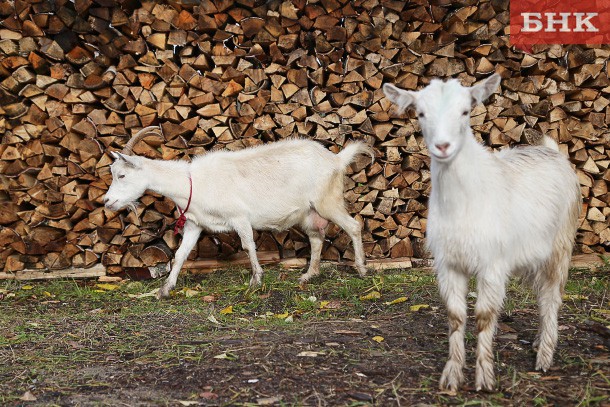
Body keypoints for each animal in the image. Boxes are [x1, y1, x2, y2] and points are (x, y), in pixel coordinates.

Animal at [103, 128, 370, 300]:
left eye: (122, 175)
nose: (107, 202)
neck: (191, 182)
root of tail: (336, 159)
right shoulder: (194, 224)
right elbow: (179, 256)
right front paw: (164, 290)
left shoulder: (239, 217)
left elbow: (248, 245)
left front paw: (256, 280)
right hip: (309, 212)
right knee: (316, 238)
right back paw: (308, 275)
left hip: (327, 201)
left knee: (353, 226)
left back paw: (361, 269)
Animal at [384, 75, 580, 394]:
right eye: (421, 113)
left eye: (465, 111)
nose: (442, 146)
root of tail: (553, 151)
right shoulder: (448, 264)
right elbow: (455, 316)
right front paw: (452, 377)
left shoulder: (492, 264)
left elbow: (485, 317)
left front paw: (485, 379)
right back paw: (539, 342)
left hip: (560, 246)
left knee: (551, 298)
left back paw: (544, 357)